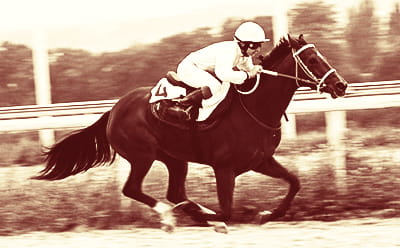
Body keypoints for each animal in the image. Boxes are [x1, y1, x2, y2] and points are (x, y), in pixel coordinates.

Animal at [33, 35, 346, 232]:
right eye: (312, 59)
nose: (341, 85)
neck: (255, 106)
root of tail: (114, 109)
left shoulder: (260, 161)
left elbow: (294, 182)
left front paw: (269, 214)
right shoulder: (224, 167)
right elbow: (226, 211)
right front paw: (215, 219)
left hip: (174, 158)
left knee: (174, 191)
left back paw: (189, 212)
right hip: (142, 155)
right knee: (133, 189)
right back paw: (170, 217)